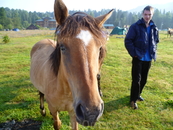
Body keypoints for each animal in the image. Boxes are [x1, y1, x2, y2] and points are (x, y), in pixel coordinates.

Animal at [29, 0, 113, 129]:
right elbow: (57, 123)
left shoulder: (74, 113)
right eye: (62, 47)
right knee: (41, 94)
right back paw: (42, 110)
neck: (65, 91)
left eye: (100, 48)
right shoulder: (54, 110)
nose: (91, 112)